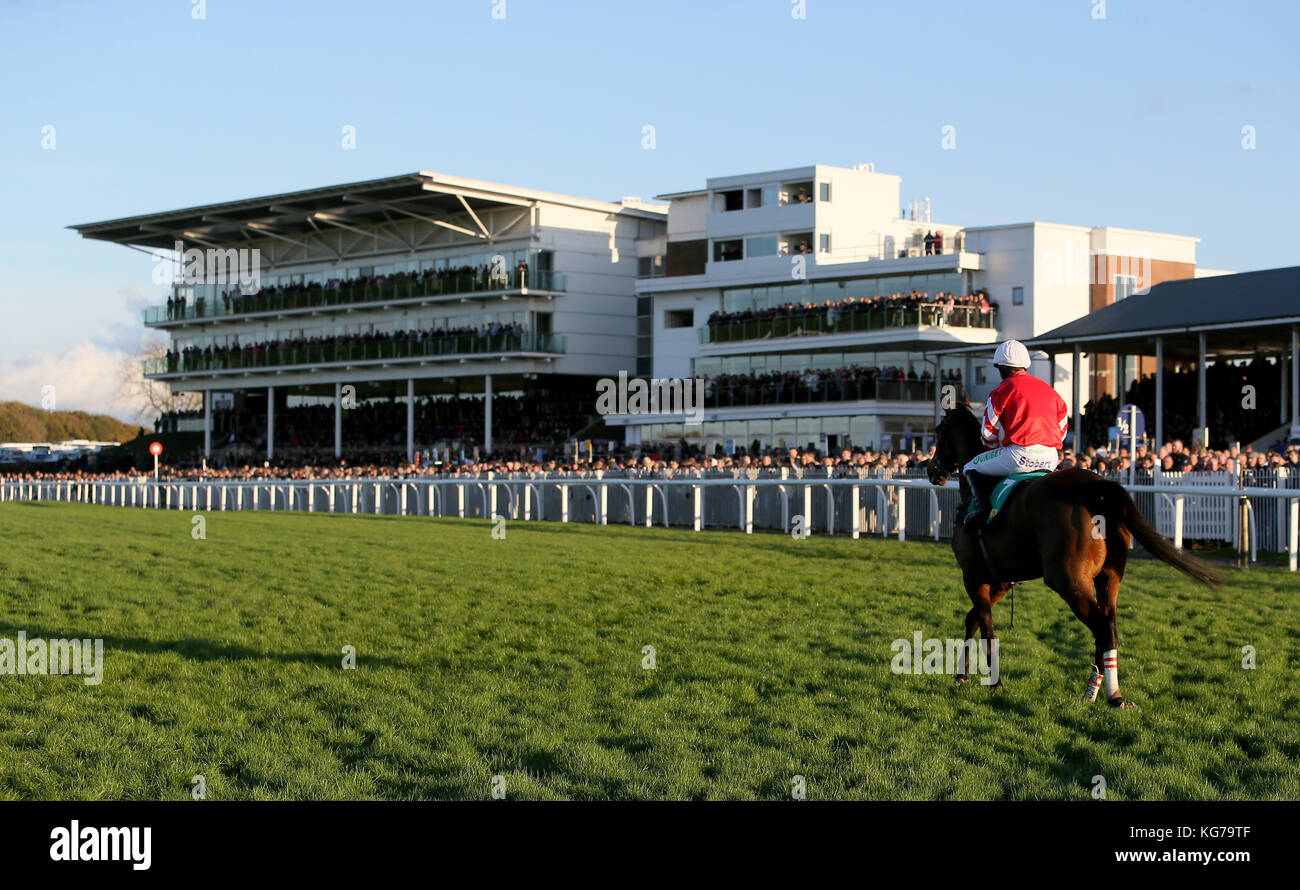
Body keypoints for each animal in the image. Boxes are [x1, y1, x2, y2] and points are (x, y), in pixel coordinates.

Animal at [925, 402, 1216, 706]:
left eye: (939, 431)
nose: (932, 469)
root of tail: (1096, 487)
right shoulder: (1001, 580)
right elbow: (973, 618)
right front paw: (962, 675)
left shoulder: (973, 576)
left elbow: (986, 628)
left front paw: (995, 684)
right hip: (1108, 578)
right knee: (1109, 627)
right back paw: (1101, 691)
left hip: (1068, 582)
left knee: (1102, 628)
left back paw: (1108, 694)